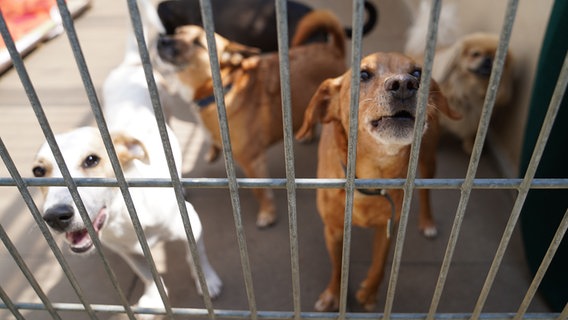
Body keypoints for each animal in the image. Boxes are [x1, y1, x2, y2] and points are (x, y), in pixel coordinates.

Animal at [30, 0, 222, 312]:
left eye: (92, 160)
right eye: (38, 172)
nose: (56, 216)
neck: (125, 217)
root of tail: (130, 65)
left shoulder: (193, 226)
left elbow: (197, 257)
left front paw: (208, 281)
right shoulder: (127, 253)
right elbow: (146, 274)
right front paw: (154, 299)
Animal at [158, 10, 348, 228]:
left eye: (198, 43)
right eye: (177, 32)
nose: (162, 39)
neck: (225, 87)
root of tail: (333, 49)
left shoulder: (252, 161)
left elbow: (260, 191)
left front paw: (268, 213)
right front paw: (213, 151)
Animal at [296, 51, 460, 312]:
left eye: (417, 72)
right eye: (363, 74)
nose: (404, 84)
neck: (372, 176)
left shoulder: (388, 228)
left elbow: (380, 265)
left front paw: (369, 293)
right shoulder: (333, 230)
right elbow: (338, 266)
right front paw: (333, 294)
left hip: (428, 158)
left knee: (425, 193)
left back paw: (427, 222)